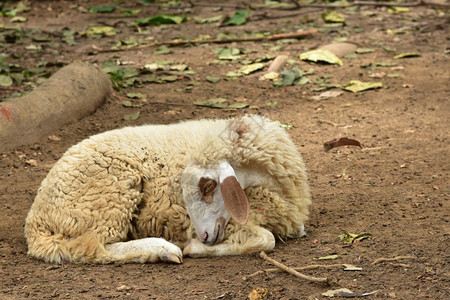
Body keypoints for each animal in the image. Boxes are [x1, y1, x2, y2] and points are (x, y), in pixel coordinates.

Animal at [24, 113, 312, 264]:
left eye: (208, 185)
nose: (203, 236)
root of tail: (36, 219)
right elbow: (267, 239)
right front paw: (194, 248)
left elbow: (293, 231)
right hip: (109, 196)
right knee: (91, 246)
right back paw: (162, 249)